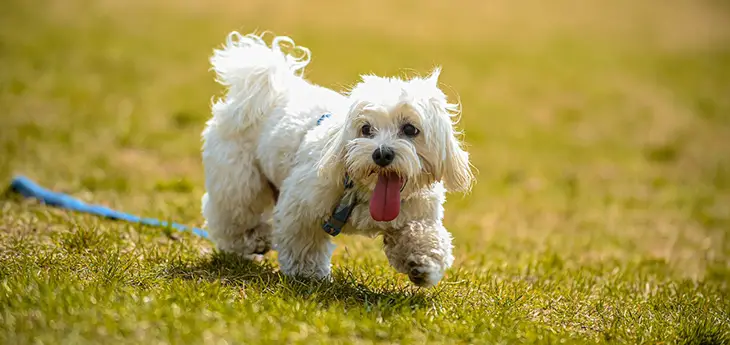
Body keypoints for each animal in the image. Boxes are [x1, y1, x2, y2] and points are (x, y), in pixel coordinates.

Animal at [200, 32, 472, 286]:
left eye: (410, 129)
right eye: (365, 129)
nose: (381, 153)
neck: (364, 191)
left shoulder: (418, 213)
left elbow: (424, 235)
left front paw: (422, 262)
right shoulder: (301, 205)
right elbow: (303, 242)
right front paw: (306, 273)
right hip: (239, 178)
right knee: (232, 214)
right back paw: (254, 239)